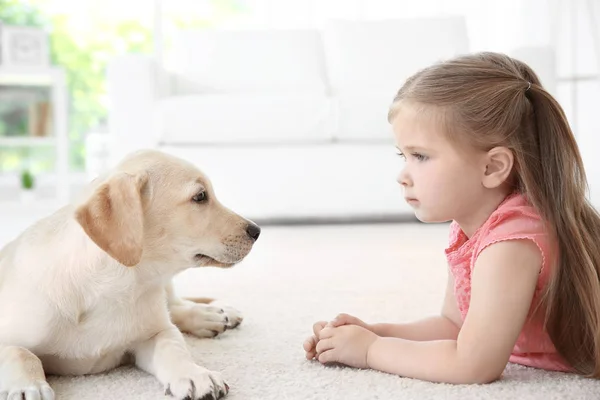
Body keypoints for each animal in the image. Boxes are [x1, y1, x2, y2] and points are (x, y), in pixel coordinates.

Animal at [0, 149, 260, 400]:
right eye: (200, 196)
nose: (257, 231)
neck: (118, 283)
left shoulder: (156, 333)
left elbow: (173, 346)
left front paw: (193, 374)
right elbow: (20, 352)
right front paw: (28, 386)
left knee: (174, 306)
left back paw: (211, 314)